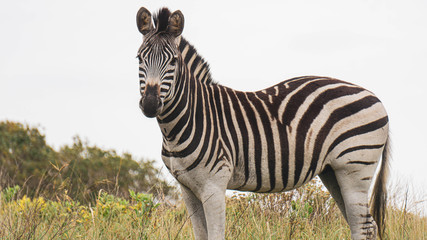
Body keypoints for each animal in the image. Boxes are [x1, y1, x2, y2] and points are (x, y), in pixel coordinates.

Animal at [136, 6, 392, 239]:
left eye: (173, 61)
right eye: (139, 58)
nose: (149, 104)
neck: (186, 120)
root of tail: (375, 96)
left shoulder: (213, 184)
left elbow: (216, 234)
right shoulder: (187, 188)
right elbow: (200, 234)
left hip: (354, 167)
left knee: (362, 226)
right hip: (333, 171)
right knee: (366, 225)